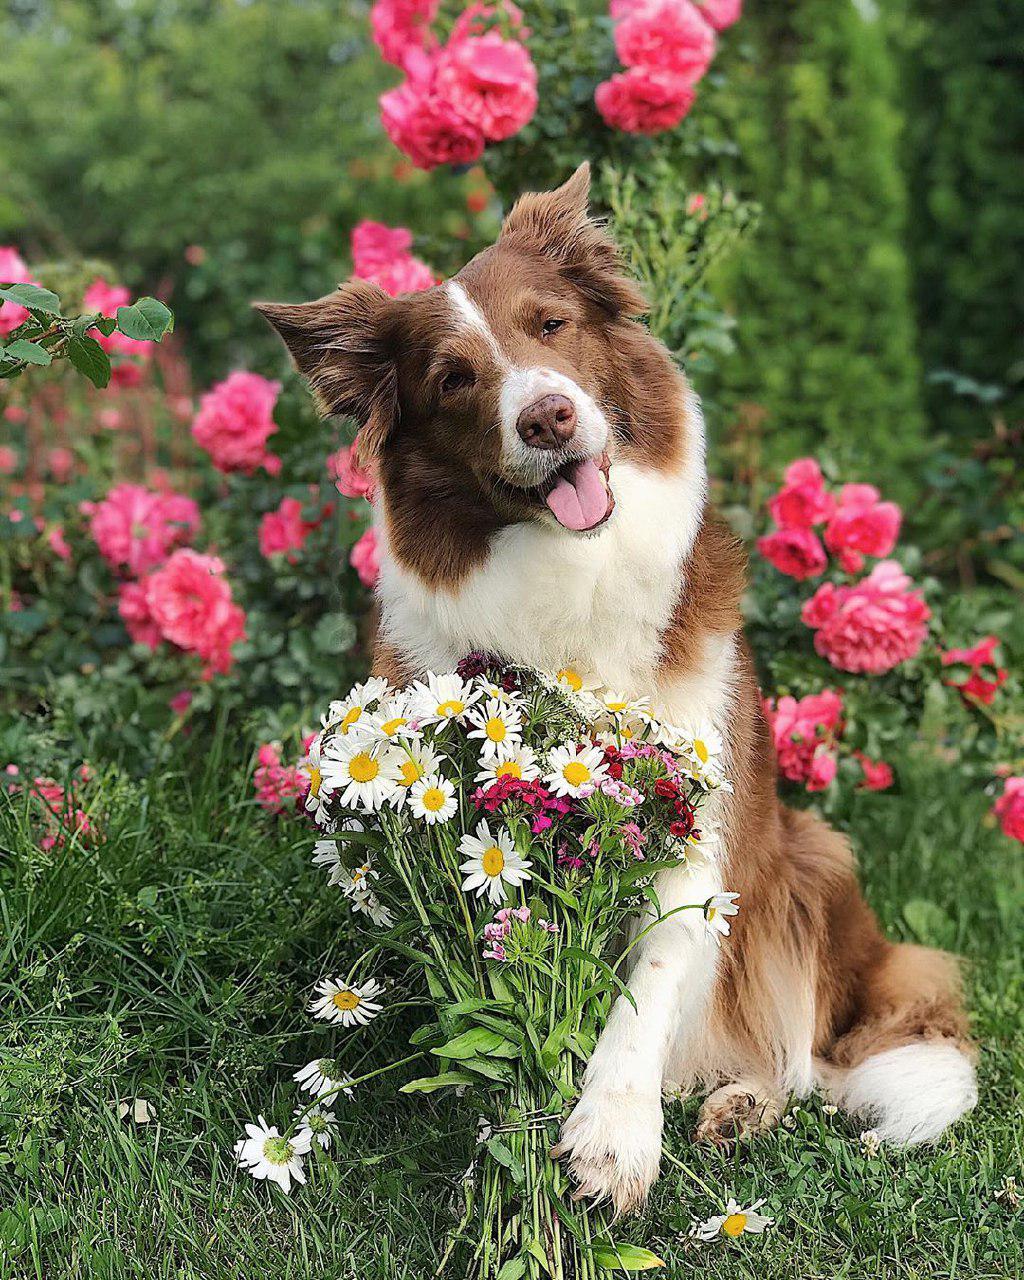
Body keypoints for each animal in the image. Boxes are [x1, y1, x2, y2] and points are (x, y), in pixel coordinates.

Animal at [259, 162, 977, 1208]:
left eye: (552, 325)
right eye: (453, 379)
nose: (547, 417)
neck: (570, 568)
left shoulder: (699, 814)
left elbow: (652, 977)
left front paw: (610, 1137)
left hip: (812, 861)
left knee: (807, 1056)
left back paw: (745, 1101)